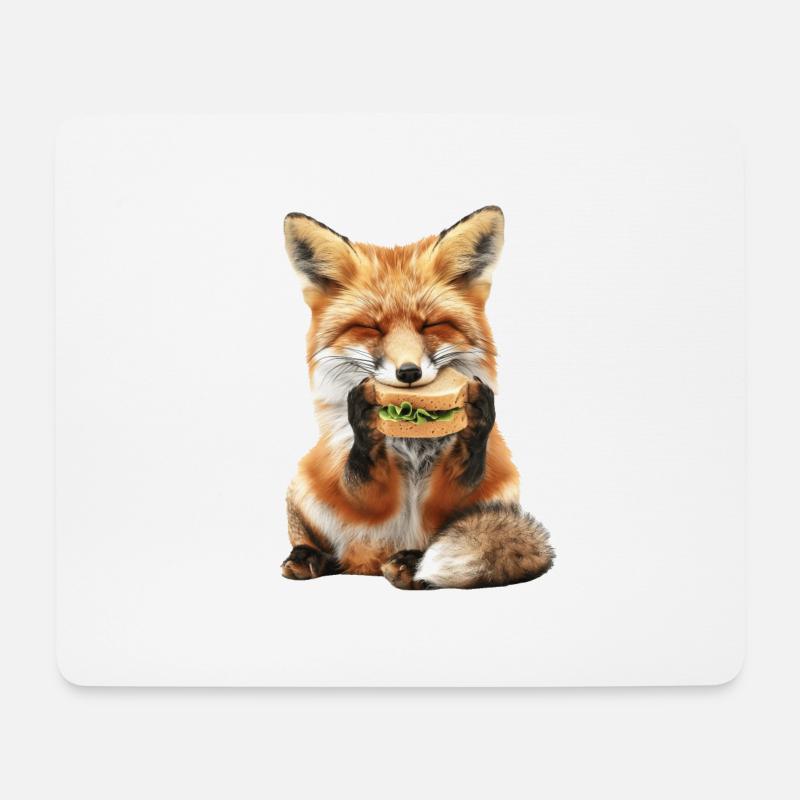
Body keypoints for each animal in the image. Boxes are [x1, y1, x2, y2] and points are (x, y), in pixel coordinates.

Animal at [280, 205, 554, 589]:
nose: (408, 373)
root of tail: (366, 564)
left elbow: (460, 481)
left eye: (430, 325)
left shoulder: (465, 494)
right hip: (304, 484)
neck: (413, 446)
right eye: (371, 327)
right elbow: (361, 485)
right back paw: (309, 556)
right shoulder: (353, 483)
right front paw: (362, 414)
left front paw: (479, 414)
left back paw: (410, 565)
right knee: (320, 542)